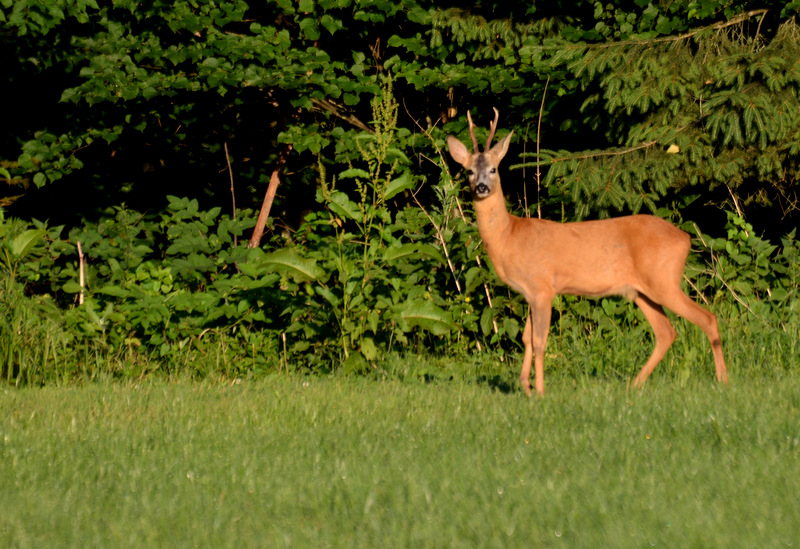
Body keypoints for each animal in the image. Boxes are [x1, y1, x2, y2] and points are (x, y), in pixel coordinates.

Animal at [446, 109, 728, 396]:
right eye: (469, 171)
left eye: (493, 169)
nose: (481, 187)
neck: (509, 236)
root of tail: (685, 238)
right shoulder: (530, 293)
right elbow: (526, 338)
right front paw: (525, 386)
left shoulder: (543, 287)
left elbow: (539, 341)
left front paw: (539, 391)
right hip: (641, 291)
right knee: (666, 332)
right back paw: (634, 384)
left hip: (664, 280)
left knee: (707, 318)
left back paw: (722, 380)